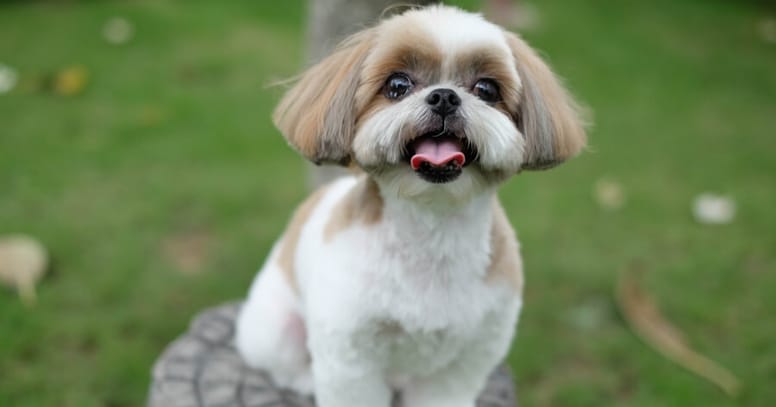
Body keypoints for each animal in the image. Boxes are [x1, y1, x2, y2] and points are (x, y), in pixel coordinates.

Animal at [233, 4, 584, 406]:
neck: (432, 230)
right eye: (397, 86)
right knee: (284, 367)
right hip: (275, 331)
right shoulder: (351, 354)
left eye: (486, 89)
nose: (444, 96)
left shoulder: (470, 355)